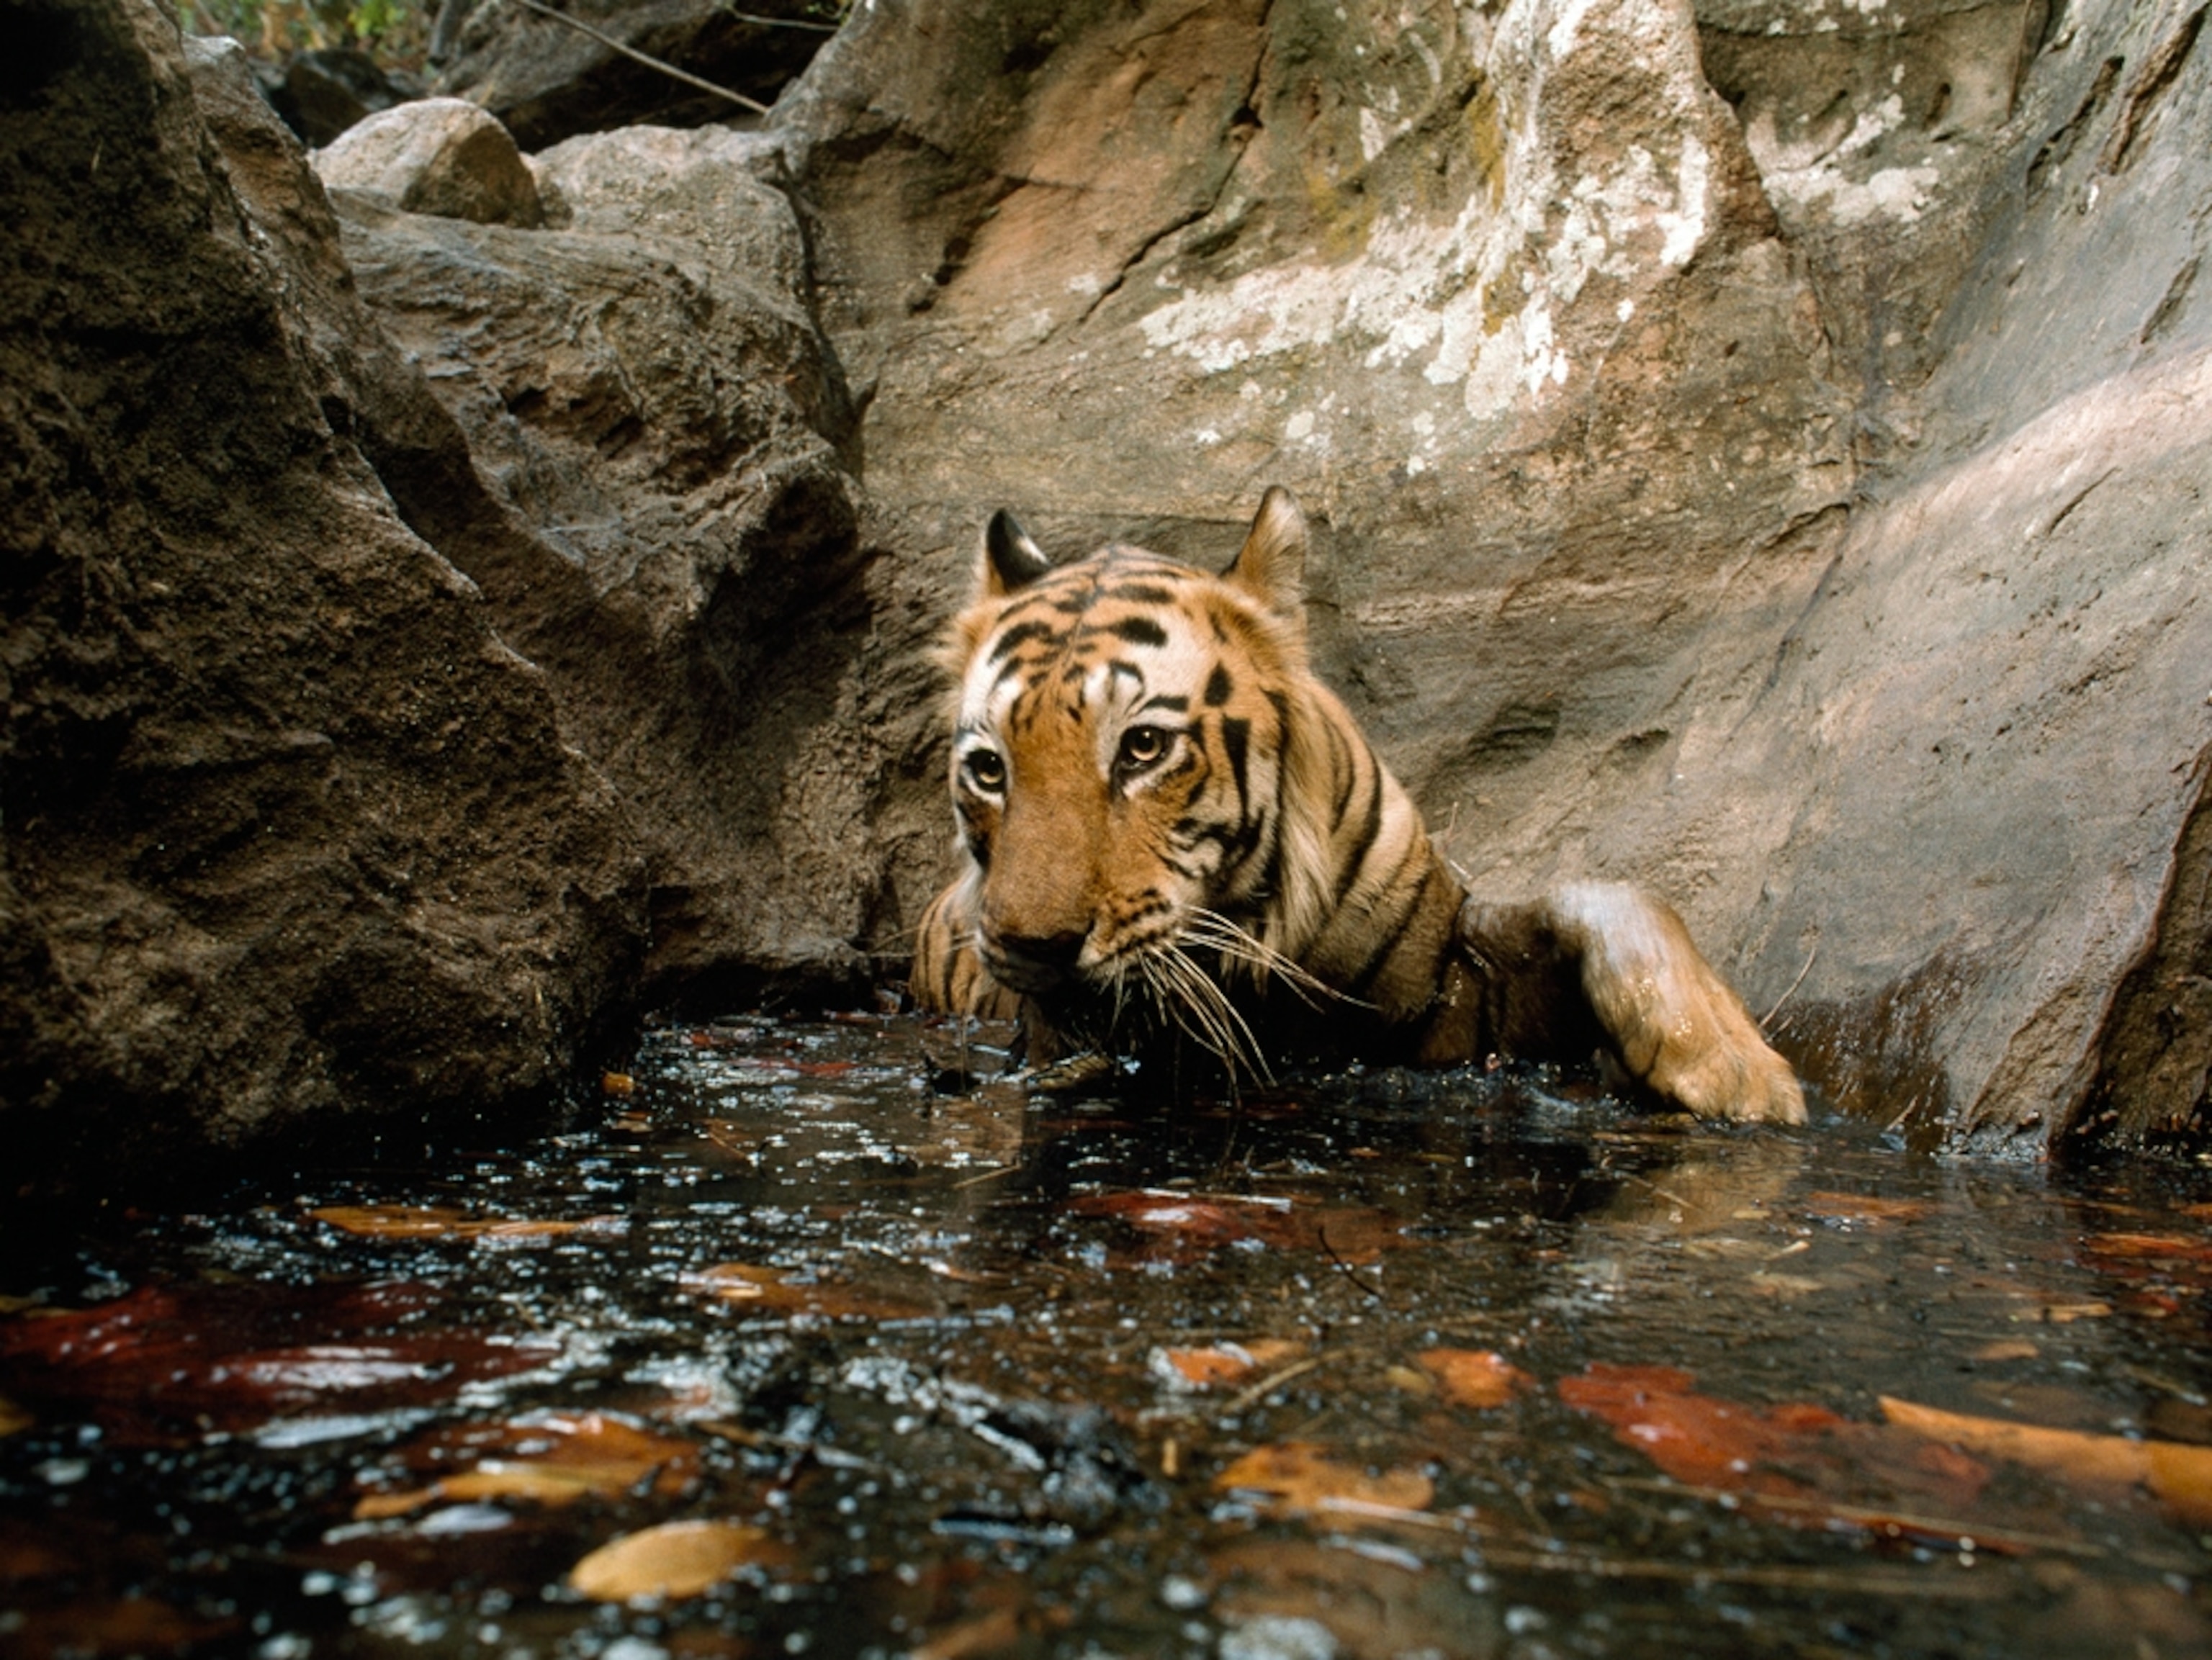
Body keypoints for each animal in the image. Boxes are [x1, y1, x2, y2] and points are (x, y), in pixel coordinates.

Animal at [909, 487, 1806, 1125]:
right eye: (990, 769)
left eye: (1143, 747)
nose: (1034, 947)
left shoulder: (1448, 1000)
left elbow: (1609, 894)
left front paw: (1736, 1072)